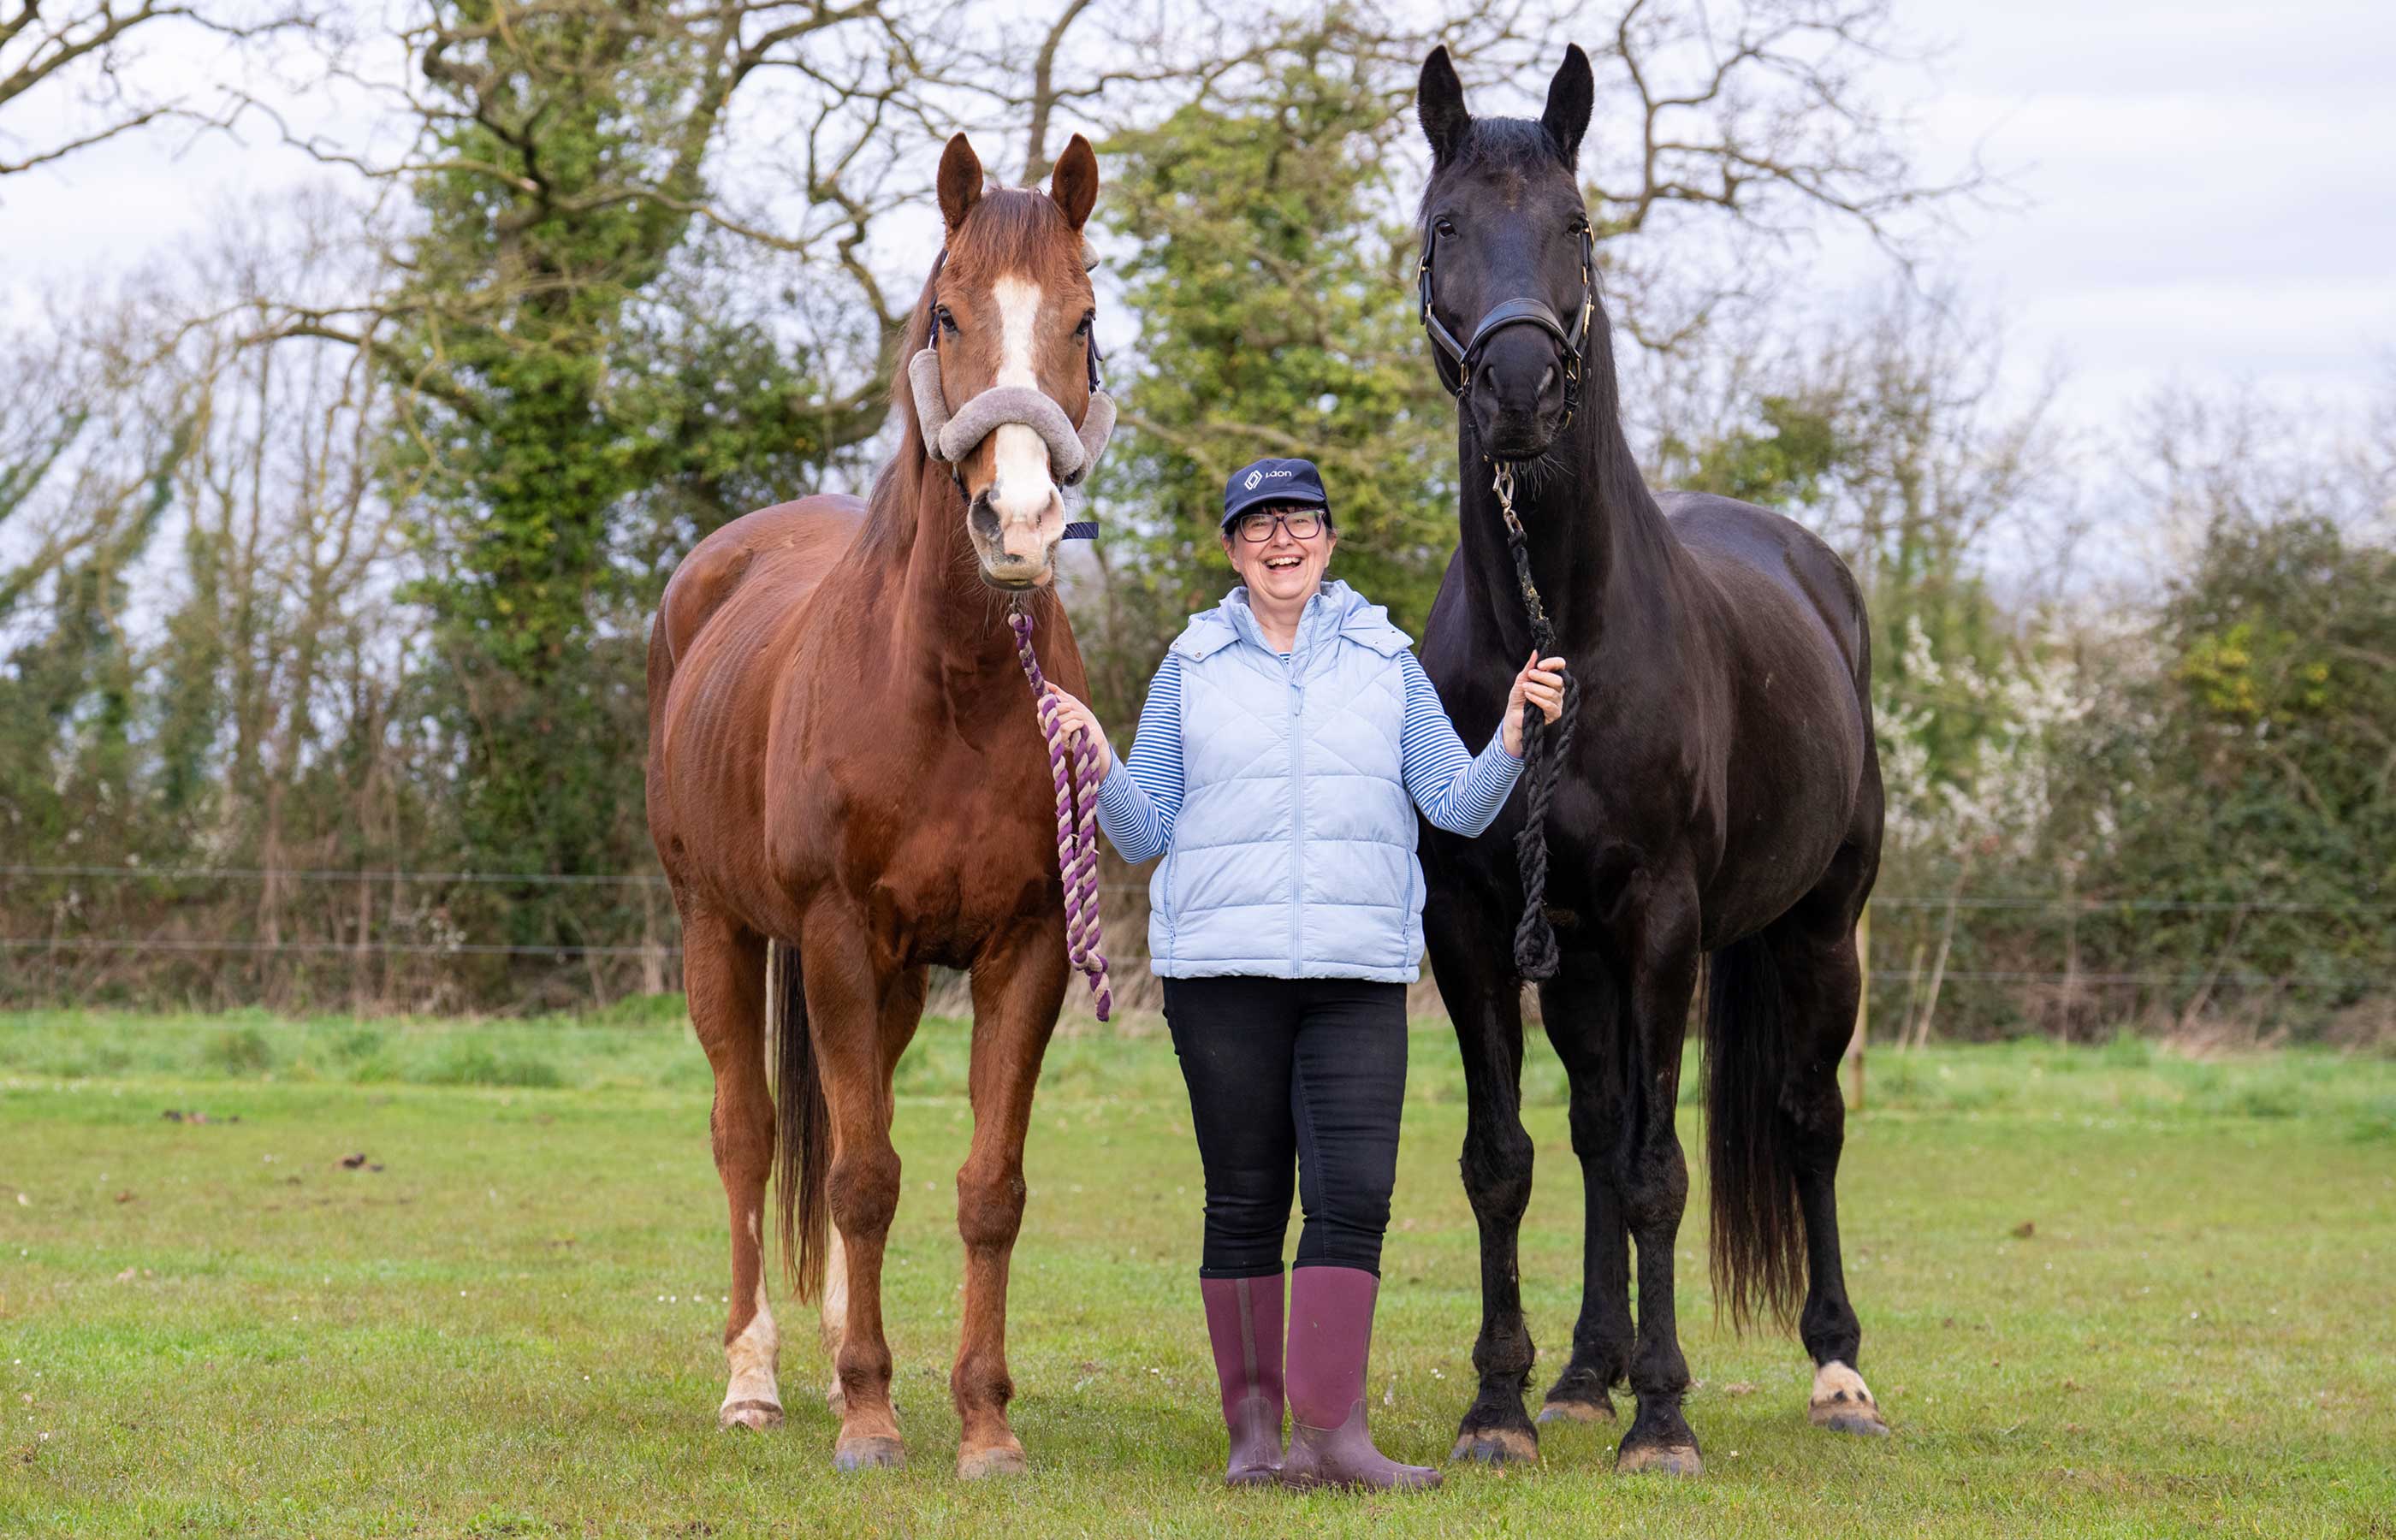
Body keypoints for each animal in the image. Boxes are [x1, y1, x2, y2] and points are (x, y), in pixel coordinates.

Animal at [643, 131, 1109, 1478]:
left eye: (1083, 318)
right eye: (948, 314)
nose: (1018, 523)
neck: (951, 684)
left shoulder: (1024, 949)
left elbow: (982, 1188)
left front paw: (983, 1424)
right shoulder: (838, 938)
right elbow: (855, 1180)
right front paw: (866, 1418)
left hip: (890, 982)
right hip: (720, 929)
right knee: (748, 1136)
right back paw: (753, 1380)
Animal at [1409, 46, 1889, 1477]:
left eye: (1577, 227)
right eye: (1443, 228)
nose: (1518, 391)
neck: (1556, 632)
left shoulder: (1665, 919)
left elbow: (1659, 1170)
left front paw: (1664, 1420)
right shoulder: (1474, 922)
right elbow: (1507, 1159)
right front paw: (1505, 1405)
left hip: (1817, 930)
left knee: (1806, 1120)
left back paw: (1837, 1370)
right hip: (1577, 963)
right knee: (1592, 1127)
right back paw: (1584, 1371)